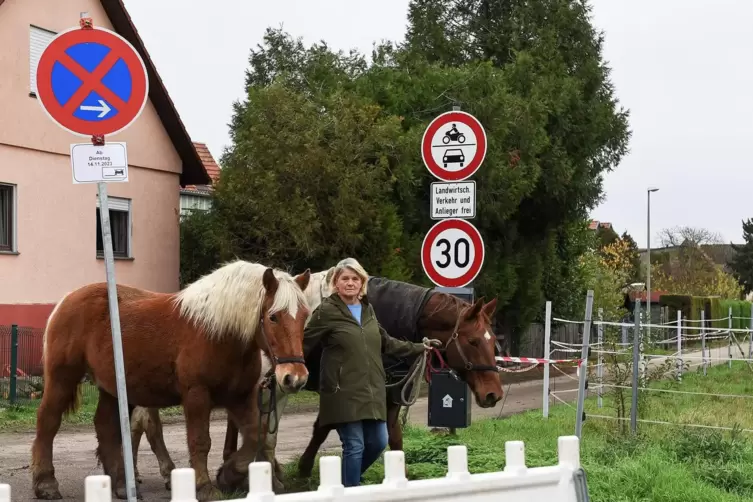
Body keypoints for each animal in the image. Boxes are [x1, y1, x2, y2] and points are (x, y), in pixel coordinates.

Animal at [30, 260, 312, 500]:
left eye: (305, 316)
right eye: (273, 316)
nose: (294, 377)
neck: (220, 334)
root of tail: (66, 300)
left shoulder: (240, 397)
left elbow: (255, 436)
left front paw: (229, 474)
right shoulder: (197, 395)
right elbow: (200, 442)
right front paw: (204, 487)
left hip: (113, 388)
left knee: (106, 428)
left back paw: (120, 485)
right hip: (62, 378)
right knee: (48, 422)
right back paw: (46, 483)